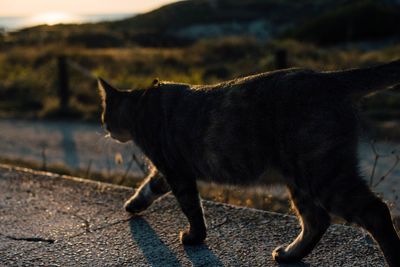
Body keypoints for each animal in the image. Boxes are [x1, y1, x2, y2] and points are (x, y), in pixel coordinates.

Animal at [98, 61, 400, 267]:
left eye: (104, 114)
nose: (105, 128)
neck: (142, 105)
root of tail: (330, 77)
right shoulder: (167, 168)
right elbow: (150, 185)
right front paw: (134, 204)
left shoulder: (176, 169)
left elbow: (191, 207)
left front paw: (195, 237)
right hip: (300, 178)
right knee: (317, 220)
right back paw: (289, 254)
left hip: (322, 173)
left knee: (376, 211)